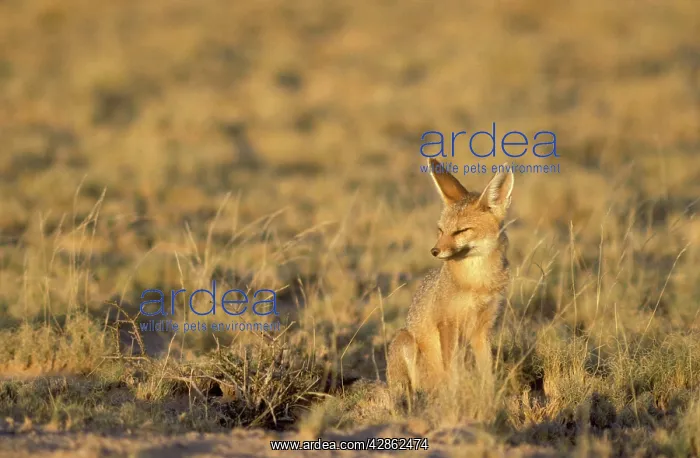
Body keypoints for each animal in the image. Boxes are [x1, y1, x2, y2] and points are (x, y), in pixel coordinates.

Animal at [386, 158, 514, 398]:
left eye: (460, 231)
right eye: (440, 230)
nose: (434, 251)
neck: (477, 283)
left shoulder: (483, 328)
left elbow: (487, 370)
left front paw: (489, 396)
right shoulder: (447, 322)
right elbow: (452, 369)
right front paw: (454, 396)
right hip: (405, 341)